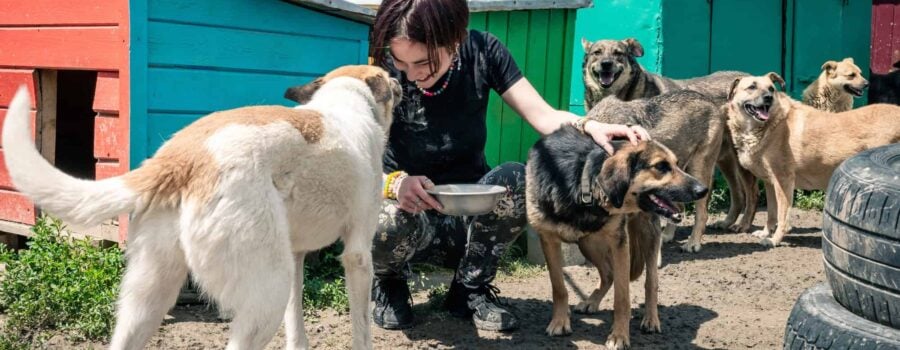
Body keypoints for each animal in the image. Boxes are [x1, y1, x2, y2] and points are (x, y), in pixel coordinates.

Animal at [0, 65, 400, 350]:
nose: (401, 82)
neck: (347, 100)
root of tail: (181, 156)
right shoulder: (357, 256)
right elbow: (361, 330)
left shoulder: (297, 255)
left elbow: (296, 328)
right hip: (266, 291)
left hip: (148, 300)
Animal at [528, 127, 712, 348]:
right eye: (661, 166)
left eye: (676, 164)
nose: (703, 190)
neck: (582, 179)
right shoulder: (548, 239)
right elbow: (559, 287)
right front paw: (560, 322)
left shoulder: (619, 243)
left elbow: (622, 297)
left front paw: (619, 336)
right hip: (589, 243)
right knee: (608, 274)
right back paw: (591, 301)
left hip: (647, 235)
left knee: (651, 281)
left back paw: (651, 319)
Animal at [588, 91, 728, 253]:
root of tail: (708, 99)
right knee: (679, 208)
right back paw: (666, 236)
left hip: (698, 172)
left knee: (702, 213)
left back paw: (692, 243)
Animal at [724, 72, 900, 246]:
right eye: (752, 87)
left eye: (771, 89)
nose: (768, 98)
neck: (769, 125)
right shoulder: (770, 182)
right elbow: (771, 213)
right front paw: (766, 233)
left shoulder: (784, 180)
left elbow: (782, 215)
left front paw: (775, 239)